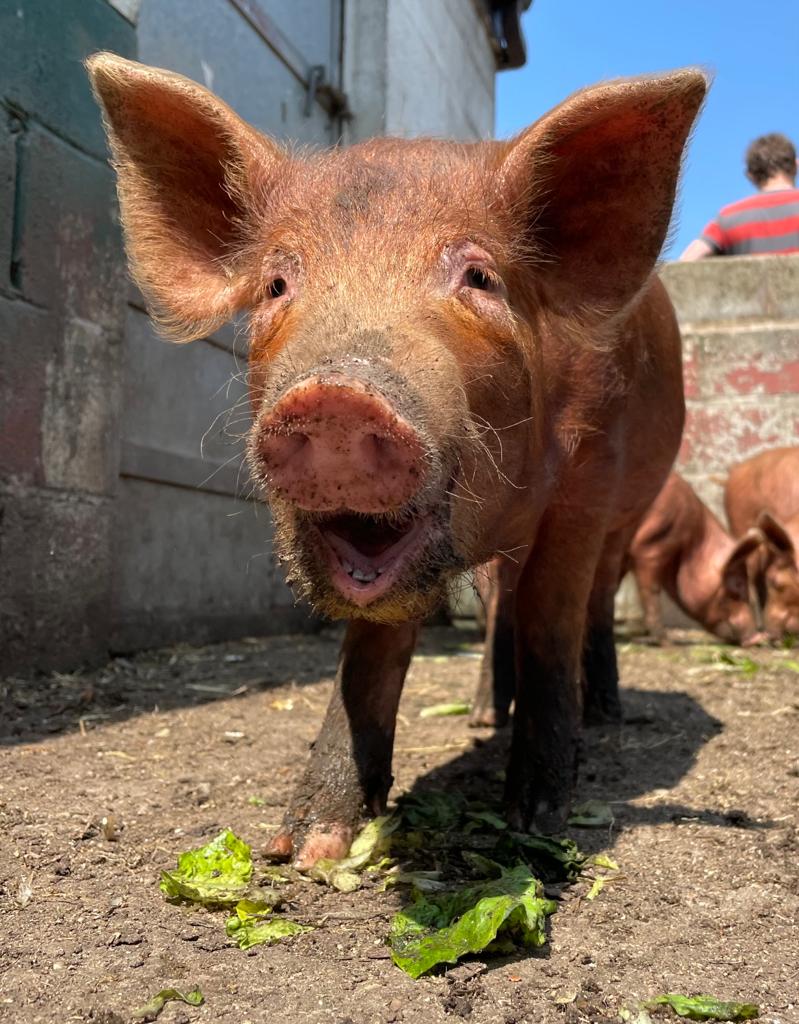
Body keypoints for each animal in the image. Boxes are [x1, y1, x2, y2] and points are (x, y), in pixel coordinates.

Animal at [87, 53, 706, 867]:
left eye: (479, 278)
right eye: (277, 282)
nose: (339, 396)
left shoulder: (591, 478)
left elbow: (553, 622)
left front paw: (536, 823)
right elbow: (370, 650)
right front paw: (307, 848)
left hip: (635, 509)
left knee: (595, 599)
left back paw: (603, 712)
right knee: (500, 605)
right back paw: (482, 717)